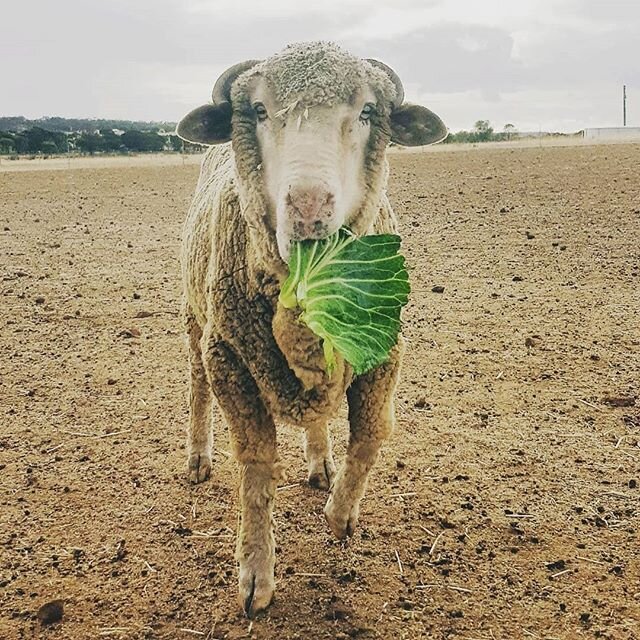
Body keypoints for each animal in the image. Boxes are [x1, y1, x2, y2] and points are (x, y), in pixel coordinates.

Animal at [175, 38, 444, 616]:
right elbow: (256, 464)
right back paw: (198, 456)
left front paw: (340, 516)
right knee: (196, 387)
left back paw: (321, 462)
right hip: (194, 318)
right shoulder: (228, 358)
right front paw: (256, 571)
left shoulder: (384, 354)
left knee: (319, 411)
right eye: (256, 110)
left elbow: (371, 435)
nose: (307, 207)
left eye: (367, 112)